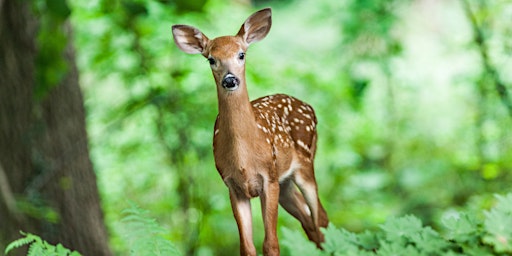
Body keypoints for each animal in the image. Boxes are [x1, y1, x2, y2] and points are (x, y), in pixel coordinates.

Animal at [173, 7, 328, 254]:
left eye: (241, 54)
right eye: (211, 59)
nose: (230, 80)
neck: (244, 159)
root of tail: (309, 107)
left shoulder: (269, 179)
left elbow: (271, 244)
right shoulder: (233, 186)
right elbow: (247, 247)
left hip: (304, 164)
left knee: (321, 218)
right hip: (285, 184)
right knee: (310, 224)